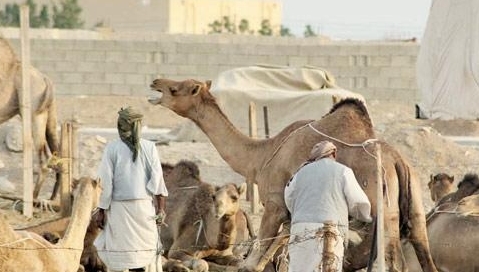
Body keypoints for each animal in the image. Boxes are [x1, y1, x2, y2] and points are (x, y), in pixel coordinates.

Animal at [0, 36, 60, 200]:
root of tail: (45, 79)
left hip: (33, 115)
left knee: (44, 159)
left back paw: (31, 198)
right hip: (50, 116)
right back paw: (53, 197)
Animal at [149, 78, 438, 272]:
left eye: (176, 89)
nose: (156, 82)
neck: (260, 157)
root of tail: (398, 162)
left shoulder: (275, 202)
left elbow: (251, 263)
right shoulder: (290, 214)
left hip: (383, 210)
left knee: (393, 261)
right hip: (415, 208)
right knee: (424, 252)